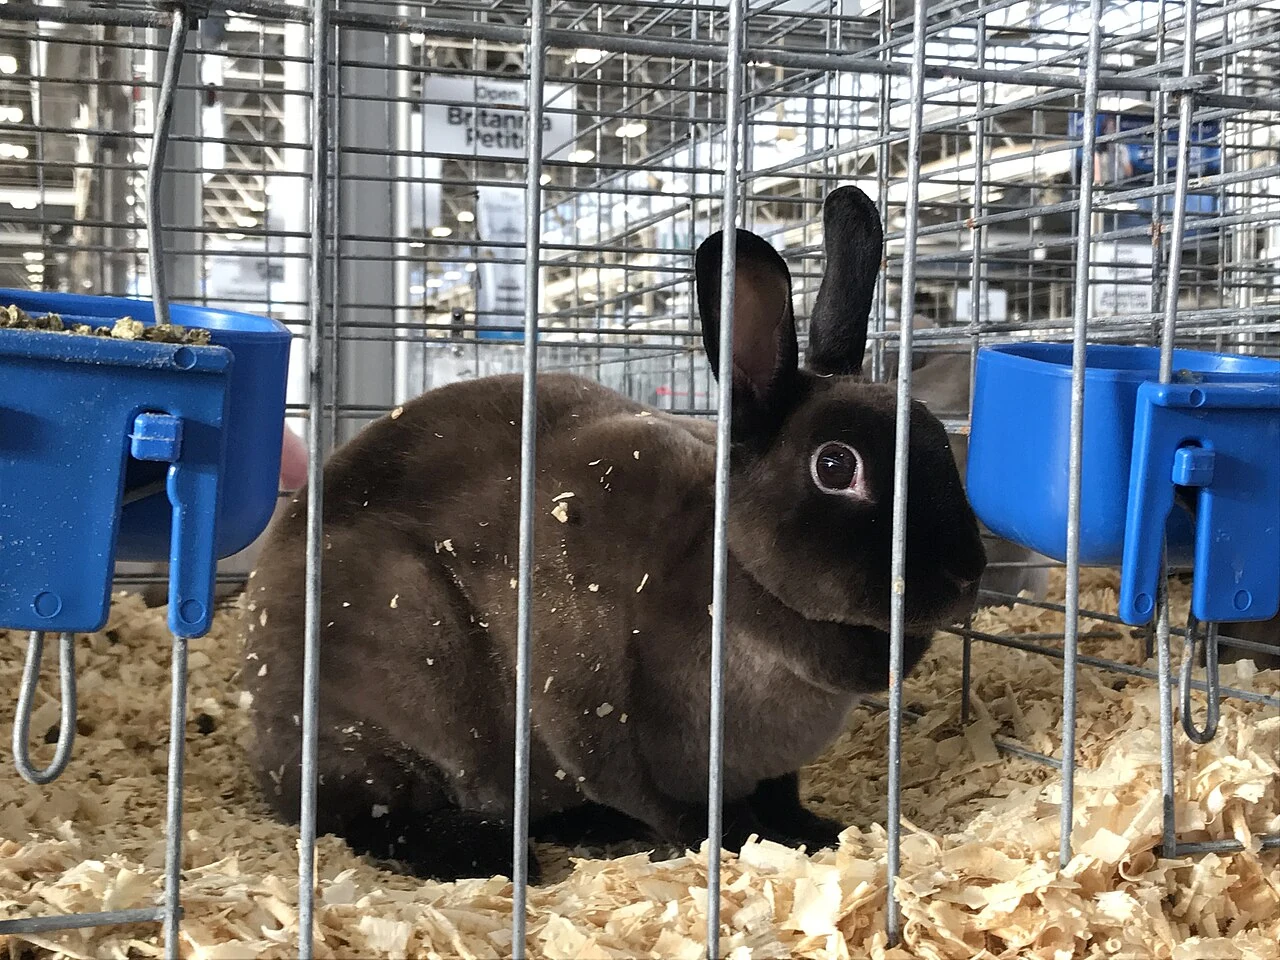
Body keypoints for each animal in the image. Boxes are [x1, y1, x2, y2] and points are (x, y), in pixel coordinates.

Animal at [240, 184, 989, 884]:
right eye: (835, 466)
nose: (966, 574)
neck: (730, 573)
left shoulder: (772, 766)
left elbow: (782, 795)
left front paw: (816, 833)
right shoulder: (592, 712)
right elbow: (667, 803)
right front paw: (741, 841)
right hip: (396, 685)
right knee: (366, 814)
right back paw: (493, 854)